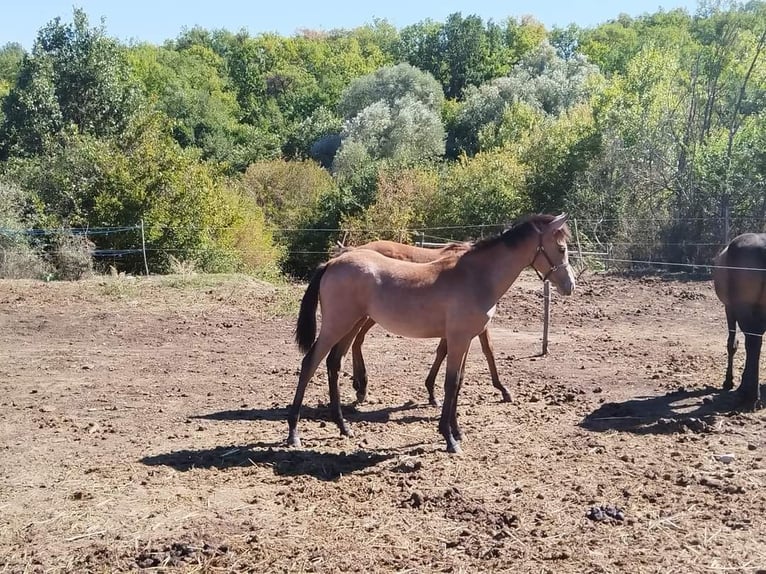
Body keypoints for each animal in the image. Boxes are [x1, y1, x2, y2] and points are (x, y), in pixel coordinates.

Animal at [340, 238, 512, 404]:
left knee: (355, 342)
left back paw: (359, 386)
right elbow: (485, 350)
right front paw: (503, 389)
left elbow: (456, 350)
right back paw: (361, 387)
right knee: (356, 342)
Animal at [712, 232, 766, 412]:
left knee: (752, 343)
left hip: (743, 308)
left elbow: (732, 344)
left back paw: (751, 396)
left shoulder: (729, 308)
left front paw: (729, 380)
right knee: (754, 344)